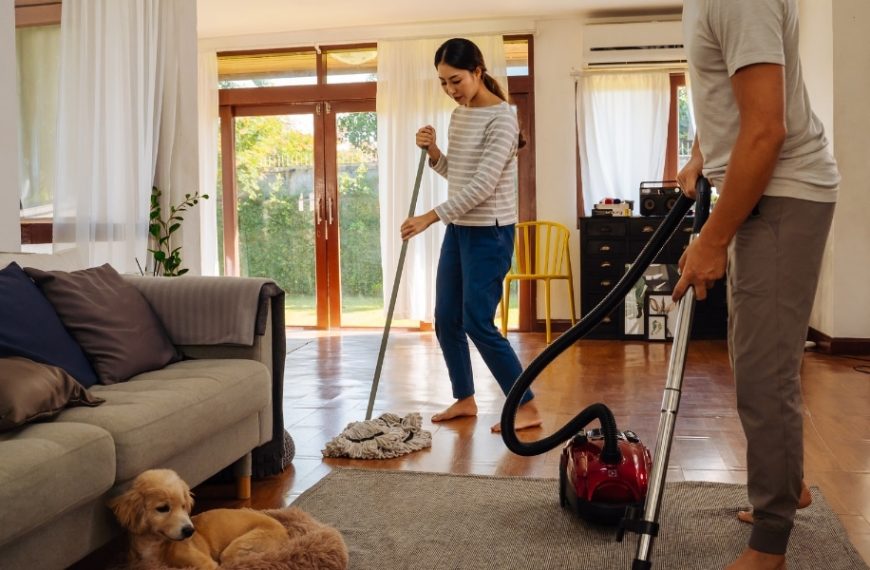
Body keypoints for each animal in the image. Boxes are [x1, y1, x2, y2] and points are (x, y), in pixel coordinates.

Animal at [109, 466, 296, 568]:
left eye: (183, 506)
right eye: (163, 509)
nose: (189, 531)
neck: (155, 546)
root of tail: (285, 531)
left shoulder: (206, 564)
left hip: (239, 547)